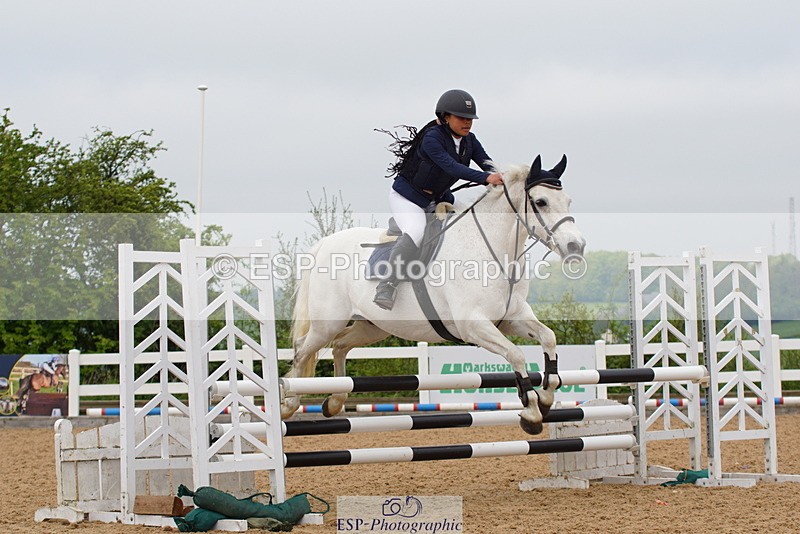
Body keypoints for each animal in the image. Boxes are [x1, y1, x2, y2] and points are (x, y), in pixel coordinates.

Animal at [281, 155, 585, 435]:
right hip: (328, 323)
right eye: (541, 202)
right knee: (302, 350)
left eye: (569, 201)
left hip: (373, 326)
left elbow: (548, 337)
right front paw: (532, 412)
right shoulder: (473, 326)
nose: (576, 247)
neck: (493, 250)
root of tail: (325, 243)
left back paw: (335, 401)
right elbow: (517, 355)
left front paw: (546, 397)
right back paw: (288, 403)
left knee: (340, 346)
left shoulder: (512, 318)